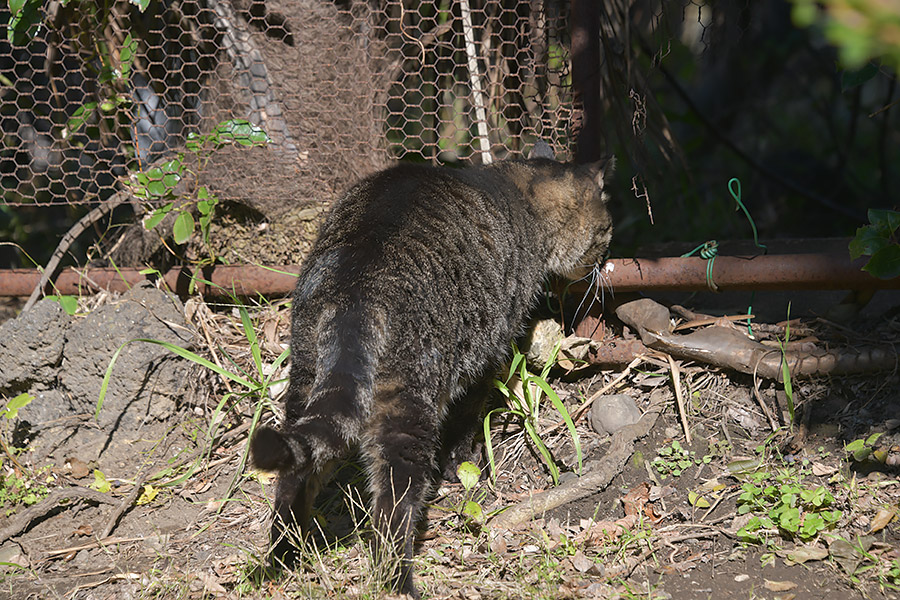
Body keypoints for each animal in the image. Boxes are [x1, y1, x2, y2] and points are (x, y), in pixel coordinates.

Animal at [251, 144, 612, 596]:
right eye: (607, 230)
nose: (606, 257)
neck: (519, 192)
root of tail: (354, 291)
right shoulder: (488, 353)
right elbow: (468, 418)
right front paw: (462, 461)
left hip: (303, 383)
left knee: (292, 478)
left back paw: (285, 551)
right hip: (407, 415)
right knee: (392, 510)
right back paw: (398, 581)